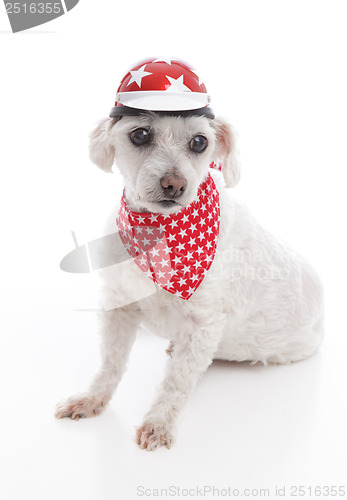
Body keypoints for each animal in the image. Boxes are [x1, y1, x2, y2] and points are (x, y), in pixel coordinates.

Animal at [55, 110, 324, 454]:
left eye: (200, 142)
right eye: (140, 134)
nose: (174, 184)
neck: (157, 232)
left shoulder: (202, 325)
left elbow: (177, 381)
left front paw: (159, 423)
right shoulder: (118, 305)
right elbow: (110, 362)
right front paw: (92, 399)